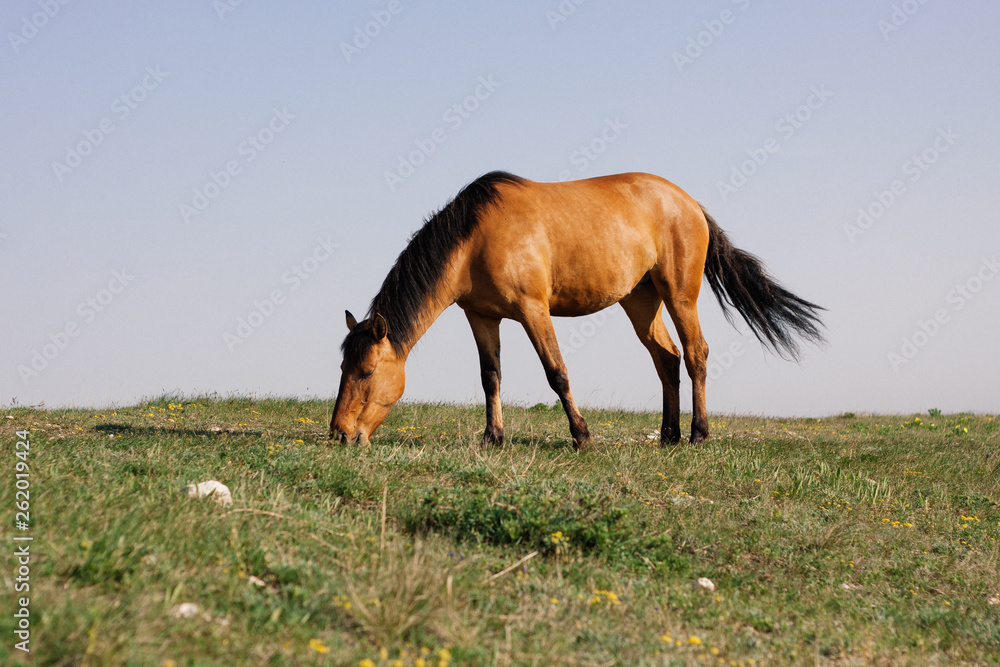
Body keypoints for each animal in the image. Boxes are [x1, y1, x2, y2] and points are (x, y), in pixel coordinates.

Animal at [330, 171, 823, 449]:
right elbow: (491, 377)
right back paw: (668, 436)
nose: (339, 434)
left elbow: (557, 373)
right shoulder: (482, 316)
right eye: (342, 368)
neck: (474, 239)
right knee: (667, 359)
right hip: (641, 300)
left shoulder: (533, 310)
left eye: (366, 371)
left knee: (696, 353)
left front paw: (582, 436)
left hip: (680, 295)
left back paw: (699, 435)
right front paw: (493, 438)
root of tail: (689, 202)